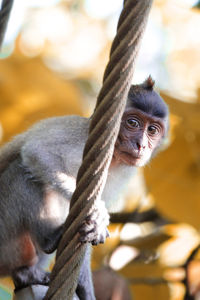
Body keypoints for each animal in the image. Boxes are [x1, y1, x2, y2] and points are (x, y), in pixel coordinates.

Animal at [0, 76, 169, 298]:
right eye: (133, 123)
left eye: (152, 130)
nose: (141, 144)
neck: (114, 157)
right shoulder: (80, 137)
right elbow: (38, 151)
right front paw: (98, 210)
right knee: (22, 170)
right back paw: (48, 240)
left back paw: (25, 274)